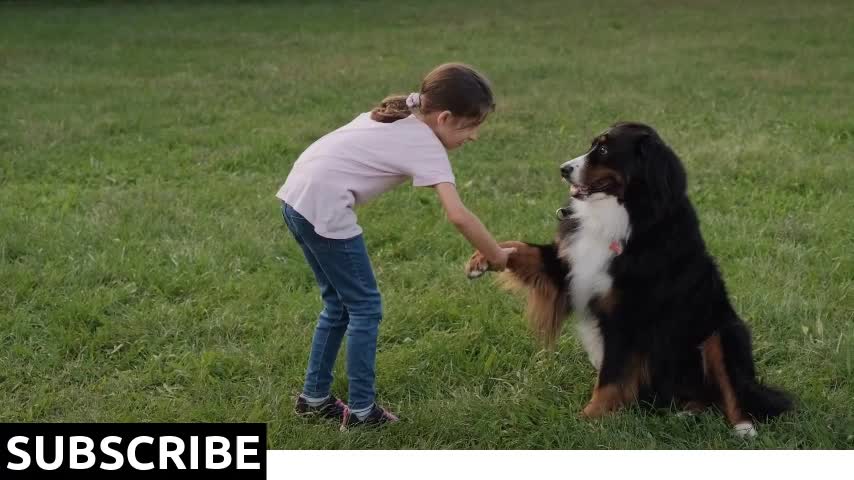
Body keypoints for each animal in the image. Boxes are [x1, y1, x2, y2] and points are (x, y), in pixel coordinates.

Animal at [468, 122, 796, 436]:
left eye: (603, 150)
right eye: (592, 145)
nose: (563, 169)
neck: (623, 215)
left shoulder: (628, 316)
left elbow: (611, 377)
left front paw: (588, 418)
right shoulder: (570, 270)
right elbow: (523, 249)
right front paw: (482, 258)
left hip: (724, 333)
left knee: (736, 391)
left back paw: (744, 428)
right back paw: (686, 413)